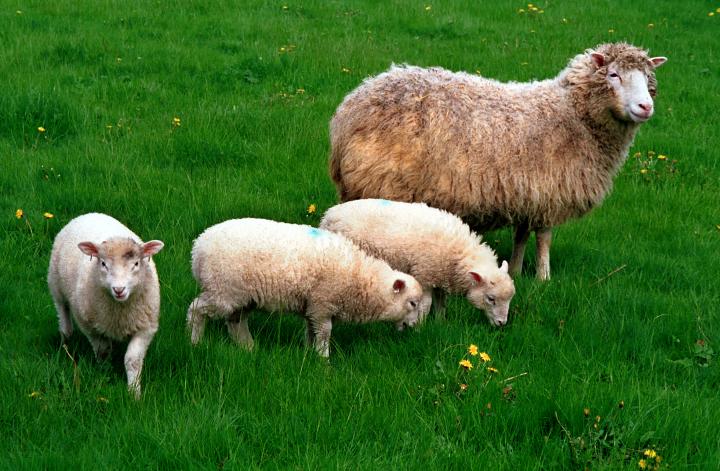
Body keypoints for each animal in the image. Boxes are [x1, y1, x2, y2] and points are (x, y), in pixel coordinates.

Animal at [47, 213, 165, 398]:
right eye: (103, 263)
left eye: (136, 264)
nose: (119, 289)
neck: (120, 310)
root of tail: (90, 214)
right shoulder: (90, 327)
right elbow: (103, 351)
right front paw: (104, 373)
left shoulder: (146, 327)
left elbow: (133, 360)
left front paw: (134, 392)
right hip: (55, 285)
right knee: (63, 313)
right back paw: (65, 341)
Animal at [186, 218, 428, 358]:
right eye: (412, 303)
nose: (415, 327)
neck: (361, 279)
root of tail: (197, 248)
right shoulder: (322, 304)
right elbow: (325, 332)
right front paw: (324, 359)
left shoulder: (311, 308)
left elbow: (311, 331)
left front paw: (310, 352)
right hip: (222, 290)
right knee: (196, 309)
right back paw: (195, 342)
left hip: (242, 297)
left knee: (236, 322)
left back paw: (249, 348)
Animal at [320, 197, 512, 326]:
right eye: (491, 298)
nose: (502, 323)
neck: (458, 252)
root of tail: (328, 215)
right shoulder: (425, 275)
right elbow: (426, 305)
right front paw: (421, 326)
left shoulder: (440, 277)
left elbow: (441, 303)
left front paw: (440, 322)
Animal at [330, 42, 668, 280]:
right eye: (613, 75)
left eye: (647, 78)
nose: (645, 106)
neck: (572, 114)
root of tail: (348, 111)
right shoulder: (550, 191)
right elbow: (544, 239)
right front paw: (544, 277)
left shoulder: (526, 194)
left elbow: (521, 235)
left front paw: (517, 270)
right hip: (381, 186)